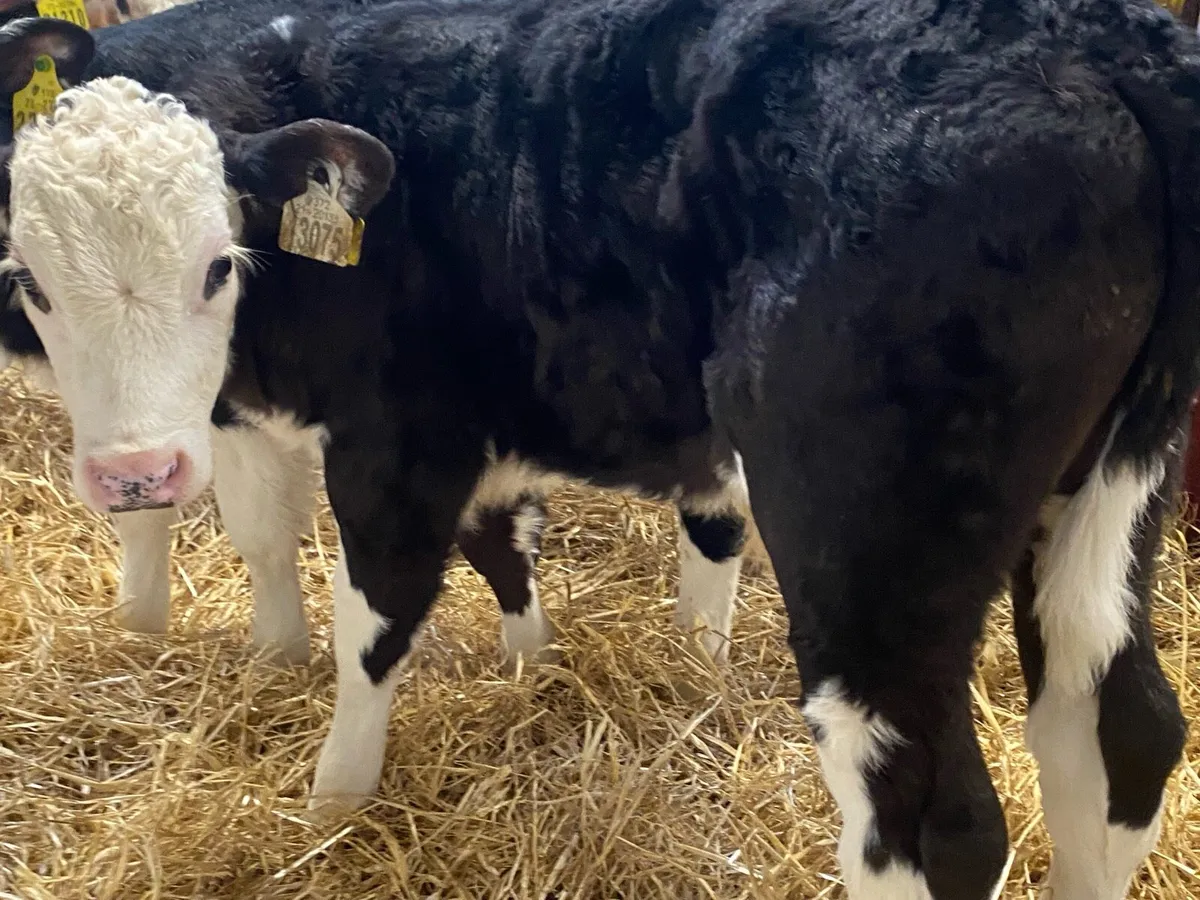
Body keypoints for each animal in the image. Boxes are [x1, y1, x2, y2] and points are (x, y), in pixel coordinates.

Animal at [1, 0, 1197, 897]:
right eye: (30, 281)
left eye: (218, 263)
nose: (130, 473)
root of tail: (1100, 37)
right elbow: (466, 543)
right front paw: (510, 667)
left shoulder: (394, 436)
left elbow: (374, 617)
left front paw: (334, 797)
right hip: (1110, 491)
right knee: (1118, 735)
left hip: (876, 544)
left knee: (931, 822)